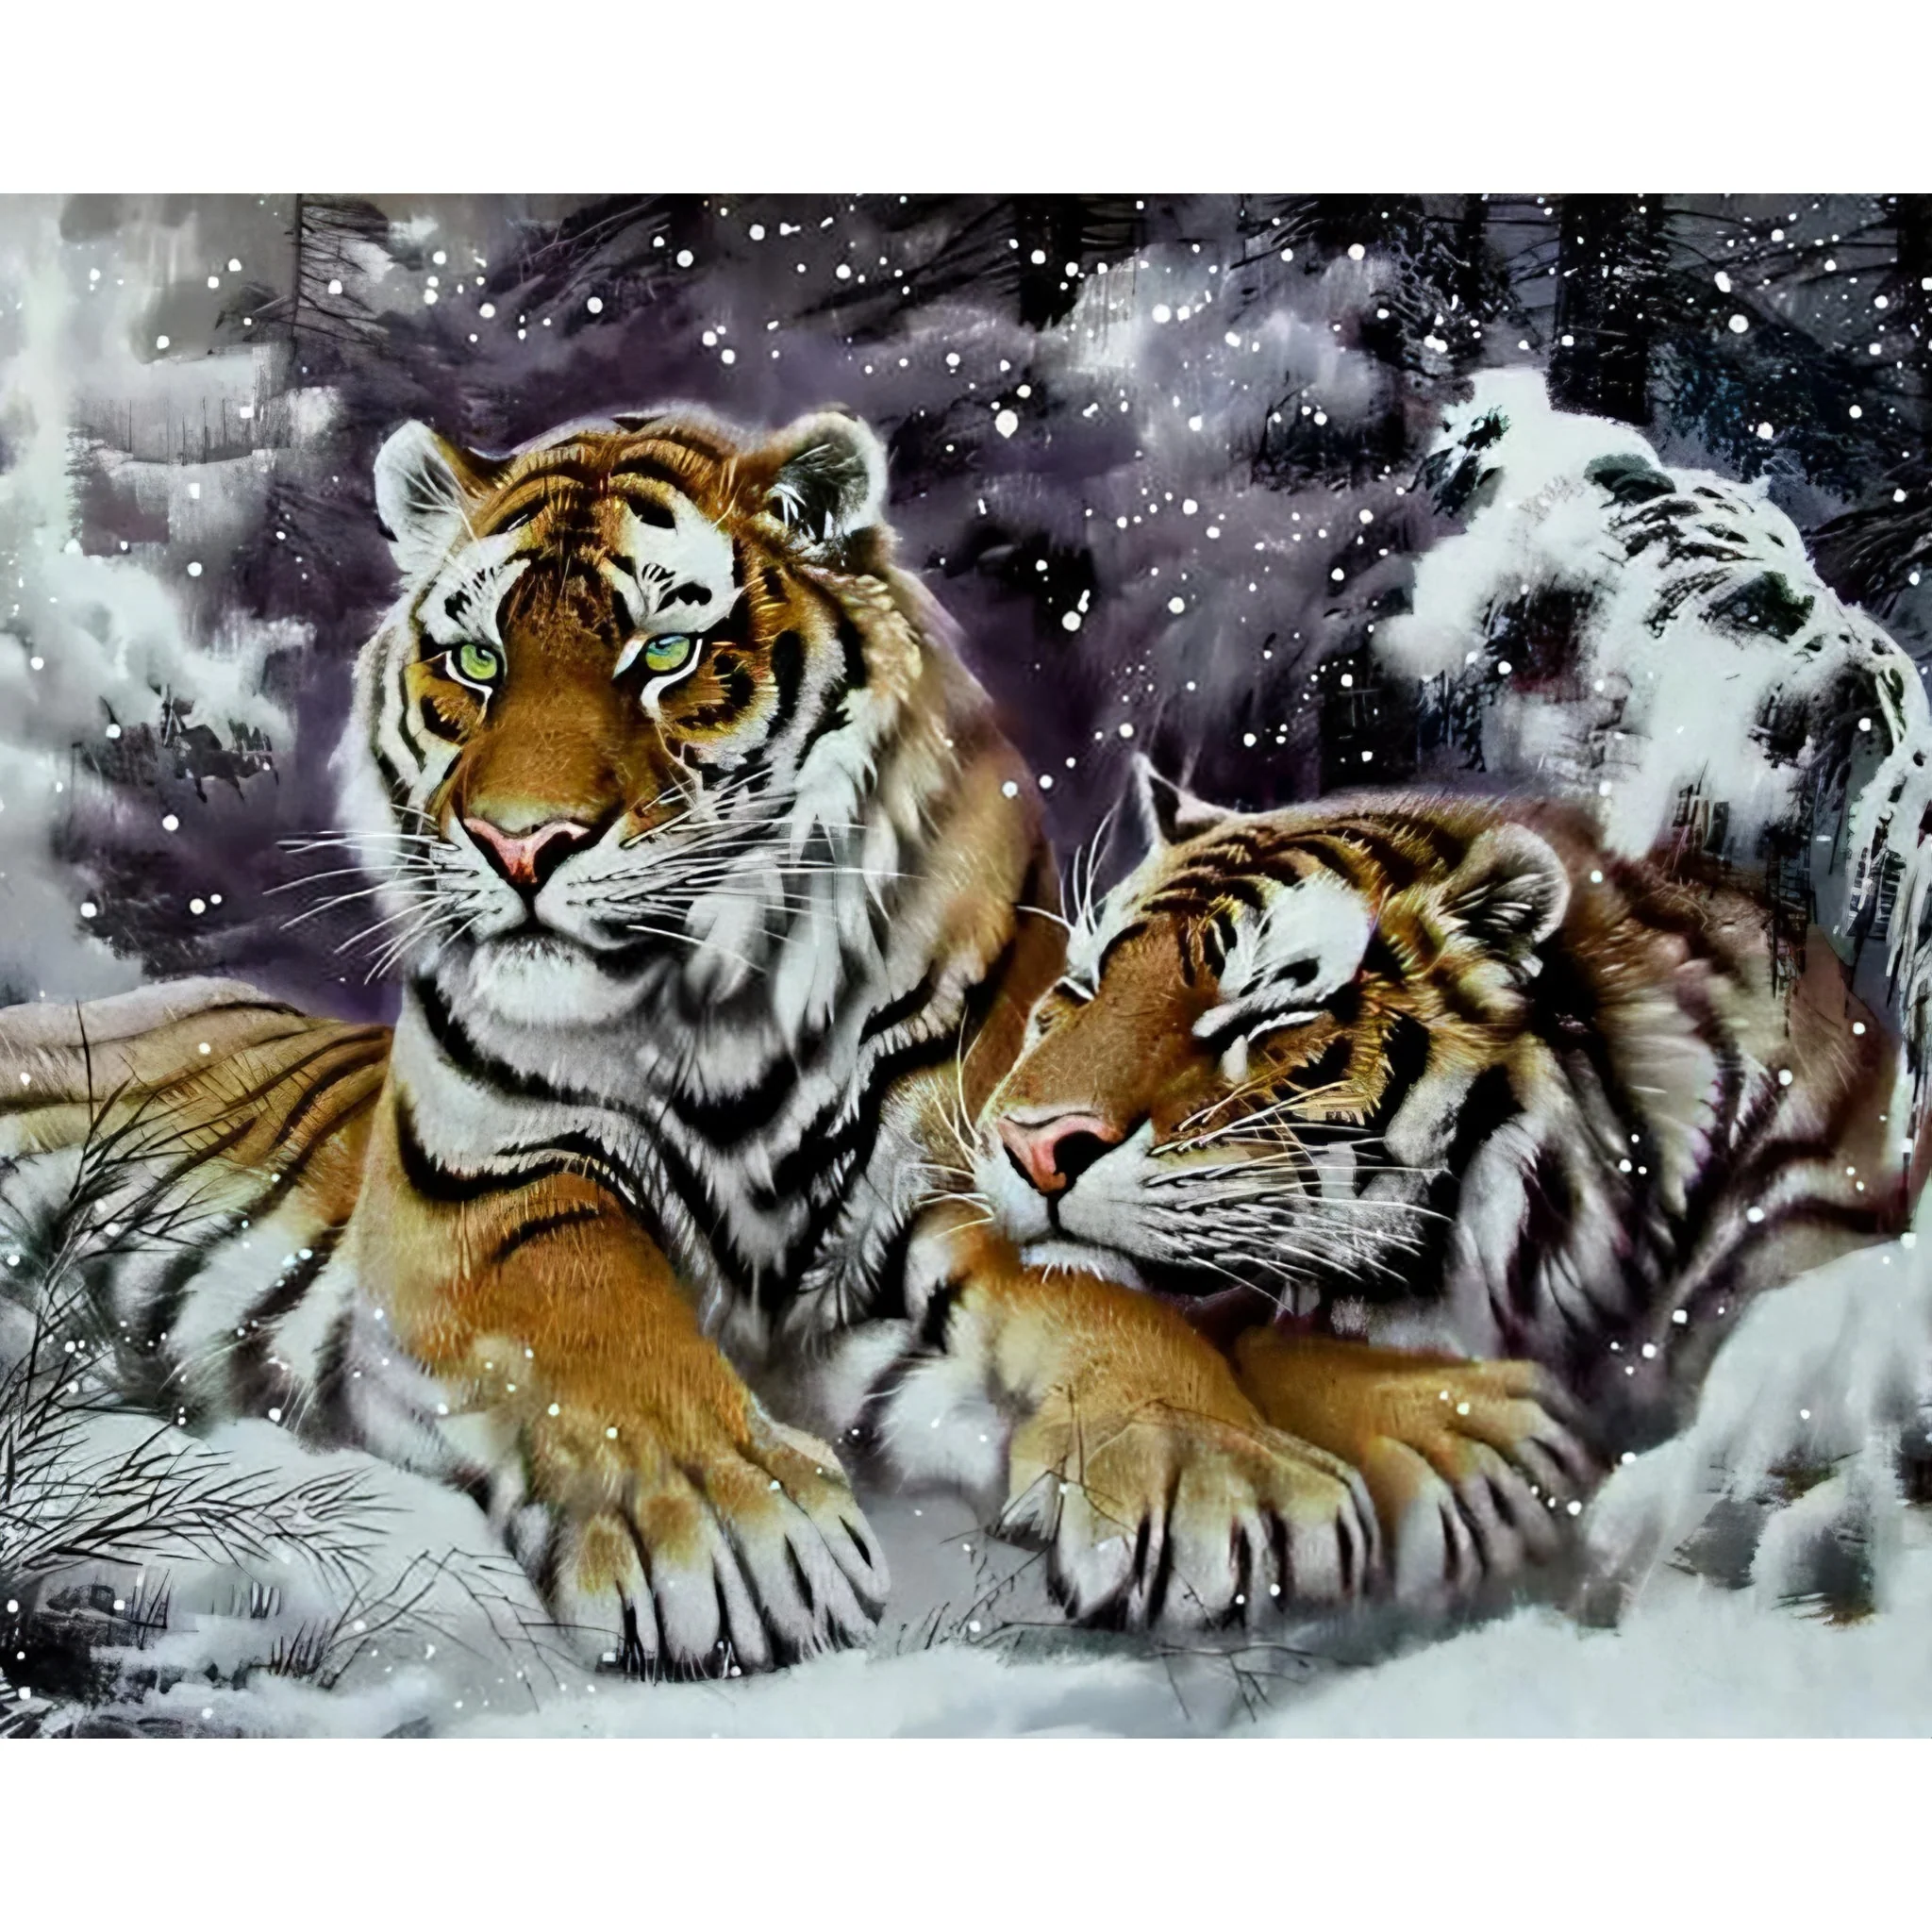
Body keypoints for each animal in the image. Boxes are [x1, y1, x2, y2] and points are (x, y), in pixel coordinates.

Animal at [0, 408, 1385, 1671]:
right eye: (475, 660)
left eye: (664, 652)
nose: (520, 843)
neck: (719, 1005)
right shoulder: (489, 1195)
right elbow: (603, 1326)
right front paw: (729, 1529)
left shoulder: (985, 1171)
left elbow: (1106, 1307)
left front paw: (1221, 1474)